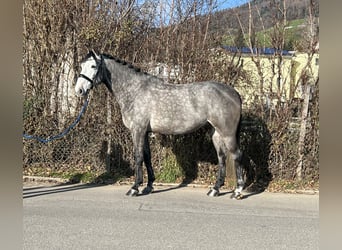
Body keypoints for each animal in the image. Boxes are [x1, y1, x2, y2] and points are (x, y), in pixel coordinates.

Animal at [76, 50, 244, 199]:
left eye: (93, 66)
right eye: (81, 66)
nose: (79, 90)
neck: (134, 90)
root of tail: (234, 93)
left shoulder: (137, 130)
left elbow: (138, 157)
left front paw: (134, 188)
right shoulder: (145, 132)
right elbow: (147, 156)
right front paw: (148, 186)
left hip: (227, 133)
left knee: (237, 155)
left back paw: (237, 191)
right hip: (216, 133)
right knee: (222, 157)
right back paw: (215, 189)